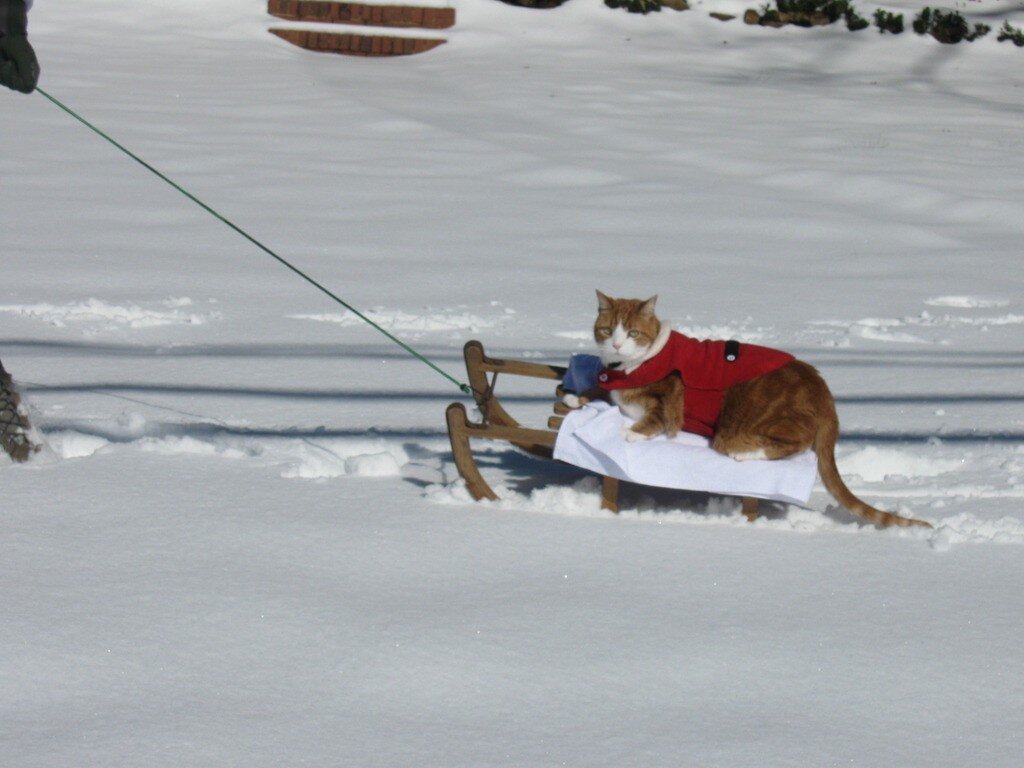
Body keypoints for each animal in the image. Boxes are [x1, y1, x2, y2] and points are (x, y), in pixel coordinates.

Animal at [577, 290, 937, 532]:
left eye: (633, 333)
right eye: (607, 330)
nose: (617, 345)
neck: (627, 368)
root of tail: (824, 393)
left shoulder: (666, 408)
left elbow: (649, 421)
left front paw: (627, 431)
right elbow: (598, 391)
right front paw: (579, 397)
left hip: (735, 430)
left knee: (791, 445)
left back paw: (746, 454)